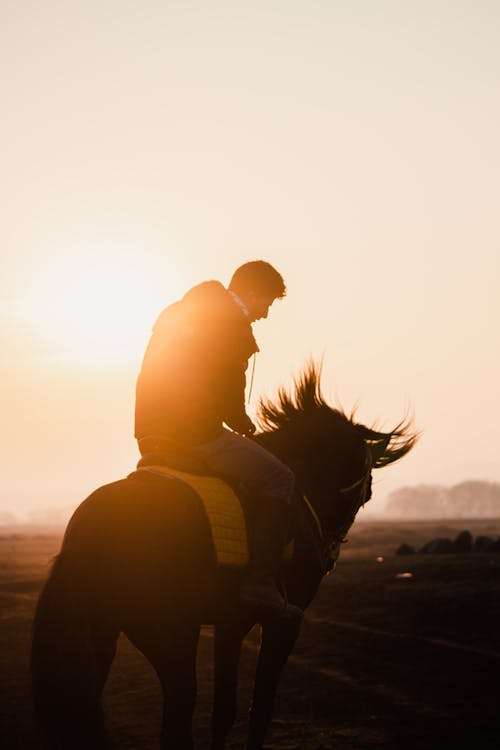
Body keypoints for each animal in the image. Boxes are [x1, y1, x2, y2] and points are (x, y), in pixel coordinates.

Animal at [29, 362, 416, 748]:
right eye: (366, 487)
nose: (330, 550)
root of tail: (89, 533)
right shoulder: (283, 623)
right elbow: (261, 707)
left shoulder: (231, 623)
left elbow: (224, 711)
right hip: (172, 634)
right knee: (177, 717)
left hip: (103, 636)